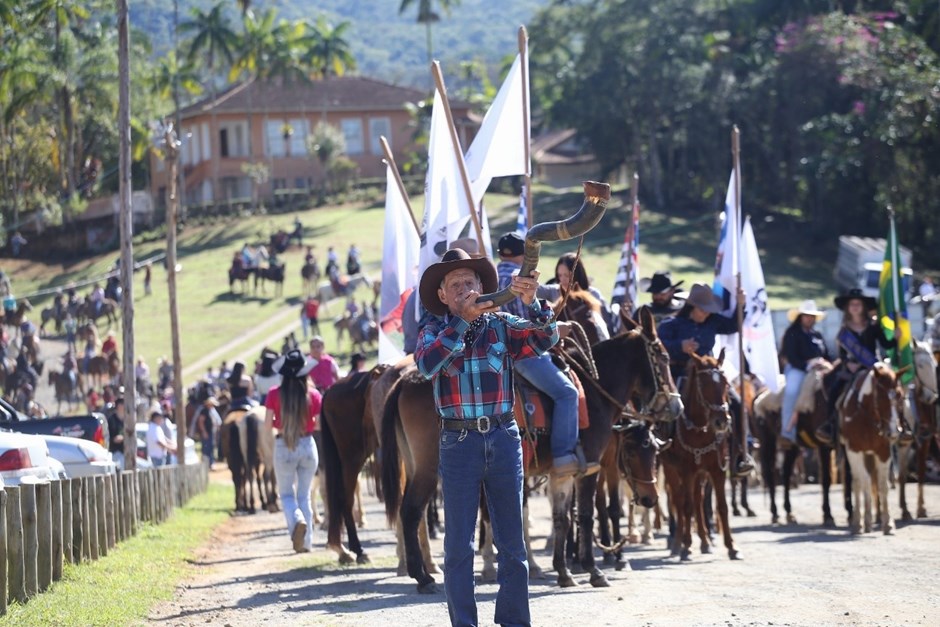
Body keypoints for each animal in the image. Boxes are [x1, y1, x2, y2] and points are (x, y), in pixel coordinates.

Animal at [382, 306, 684, 592]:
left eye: (653, 453)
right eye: (663, 357)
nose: (676, 405)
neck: (594, 392)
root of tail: (405, 380)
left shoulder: (560, 474)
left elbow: (562, 519)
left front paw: (564, 572)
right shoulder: (589, 469)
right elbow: (586, 516)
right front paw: (593, 570)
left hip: (415, 464)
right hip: (430, 468)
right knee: (411, 511)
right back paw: (423, 577)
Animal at [660, 350, 740, 560]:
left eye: (725, 383)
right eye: (703, 385)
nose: (721, 421)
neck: (700, 429)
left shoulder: (717, 470)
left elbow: (722, 506)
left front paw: (732, 547)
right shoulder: (686, 470)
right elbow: (686, 507)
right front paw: (686, 546)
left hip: (700, 473)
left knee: (697, 499)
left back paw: (704, 542)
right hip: (671, 468)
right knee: (679, 501)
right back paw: (678, 543)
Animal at [840, 364, 908, 536]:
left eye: (900, 395)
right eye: (882, 398)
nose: (894, 432)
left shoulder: (883, 451)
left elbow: (883, 484)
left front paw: (888, 523)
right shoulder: (854, 450)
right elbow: (863, 481)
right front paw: (864, 520)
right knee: (858, 481)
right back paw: (859, 521)